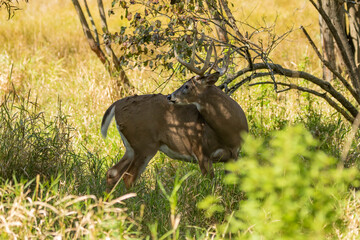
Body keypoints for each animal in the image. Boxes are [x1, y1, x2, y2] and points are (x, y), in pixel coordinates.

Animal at [101, 42, 248, 190]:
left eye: (187, 86)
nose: (169, 96)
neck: (229, 133)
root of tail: (117, 105)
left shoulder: (234, 155)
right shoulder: (200, 151)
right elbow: (209, 184)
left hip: (131, 147)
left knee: (112, 172)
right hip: (144, 144)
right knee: (128, 177)